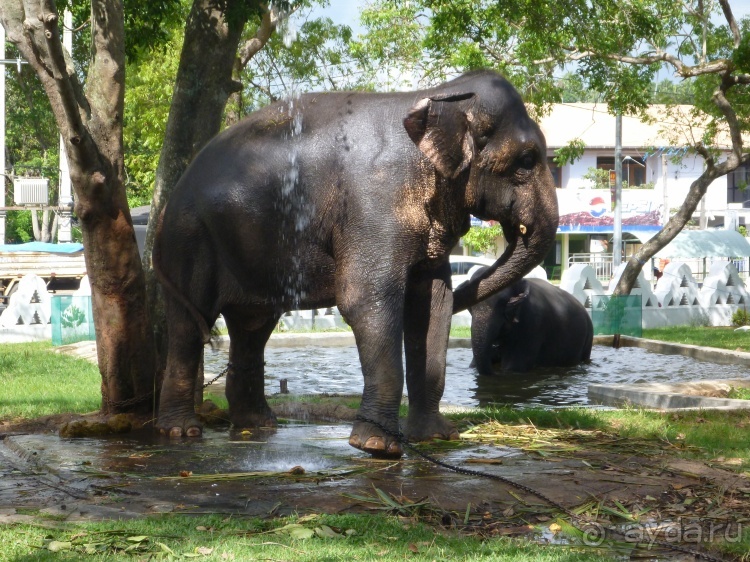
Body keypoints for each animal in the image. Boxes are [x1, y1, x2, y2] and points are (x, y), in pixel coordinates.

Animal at [153, 69, 560, 456]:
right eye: (527, 160)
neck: (439, 95)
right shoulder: (372, 205)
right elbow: (367, 301)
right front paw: (376, 446)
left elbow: (433, 306)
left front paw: (436, 438)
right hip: (189, 238)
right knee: (190, 327)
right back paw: (182, 433)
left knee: (252, 326)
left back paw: (259, 427)